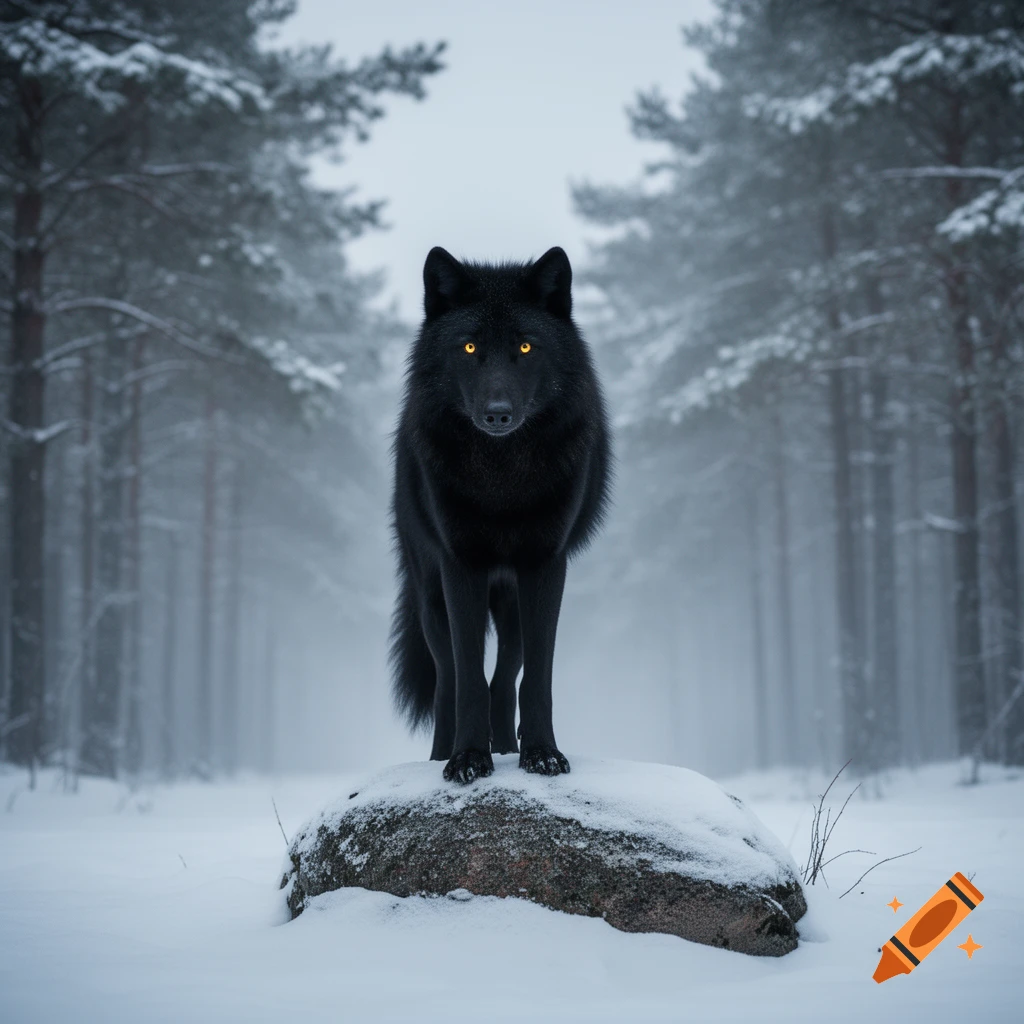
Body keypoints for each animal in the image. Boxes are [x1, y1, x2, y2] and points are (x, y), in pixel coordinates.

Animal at [389, 245, 611, 784]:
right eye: (469, 348)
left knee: (507, 674)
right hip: (430, 596)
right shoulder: (461, 566)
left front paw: (543, 754)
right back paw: (443, 753)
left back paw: (510, 747)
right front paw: (468, 758)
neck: (502, 480)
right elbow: (468, 676)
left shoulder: (545, 566)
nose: (497, 412)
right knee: (449, 678)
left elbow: (535, 677)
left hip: (511, 597)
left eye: (526, 348)